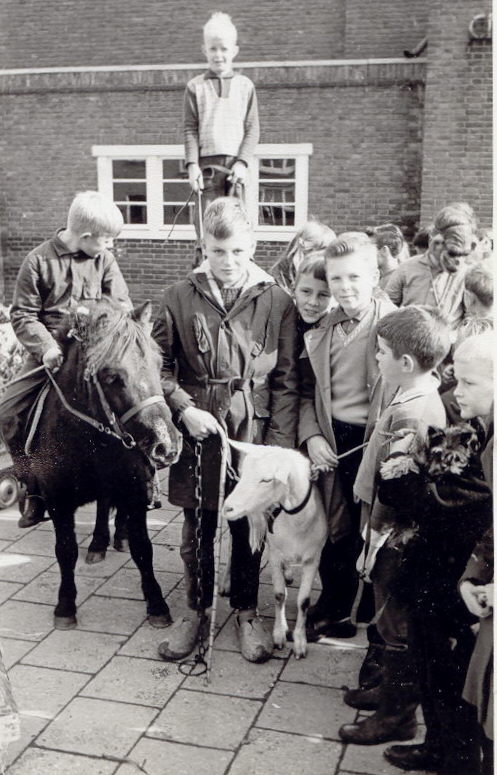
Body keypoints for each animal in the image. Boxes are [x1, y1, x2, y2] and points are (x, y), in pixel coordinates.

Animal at [29, 298, 180, 632]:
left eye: (158, 364)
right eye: (112, 377)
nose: (166, 445)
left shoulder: (135, 492)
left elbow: (143, 548)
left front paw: (157, 605)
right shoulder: (57, 500)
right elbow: (66, 550)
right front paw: (65, 607)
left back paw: (114, 536)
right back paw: (98, 543)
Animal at [223, 442, 328, 660]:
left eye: (267, 479)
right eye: (243, 473)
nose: (227, 507)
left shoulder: (313, 557)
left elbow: (303, 601)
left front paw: (299, 643)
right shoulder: (274, 554)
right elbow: (279, 595)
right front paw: (279, 635)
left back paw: (288, 573)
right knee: (230, 546)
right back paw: (227, 583)